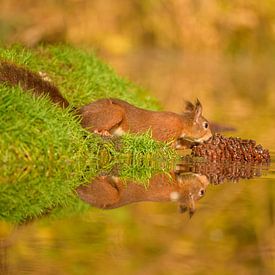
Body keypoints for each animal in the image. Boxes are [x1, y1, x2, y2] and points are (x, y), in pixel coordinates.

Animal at [0, 61, 213, 148]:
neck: (182, 123)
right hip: (114, 113)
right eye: (205, 125)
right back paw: (102, 132)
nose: (211, 137)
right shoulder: (164, 133)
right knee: (86, 127)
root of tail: (78, 112)